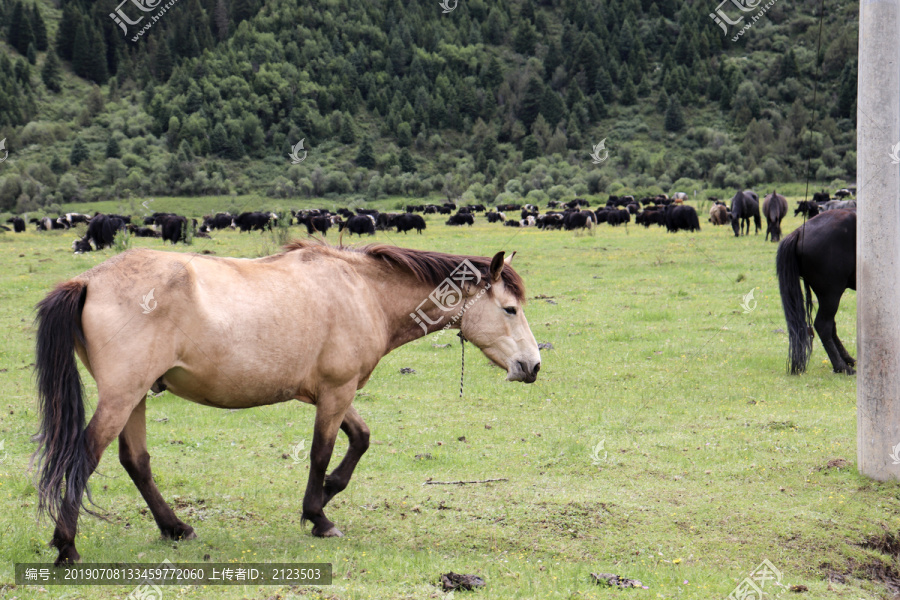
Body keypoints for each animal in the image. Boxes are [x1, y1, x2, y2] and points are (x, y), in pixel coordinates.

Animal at [33, 240, 542, 565]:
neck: (363, 291)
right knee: (85, 455)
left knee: (135, 461)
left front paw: (328, 493)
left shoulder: (333, 391)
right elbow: (322, 451)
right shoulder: (337, 391)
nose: (532, 365)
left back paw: (175, 528)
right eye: (510, 309)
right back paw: (67, 546)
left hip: (136, 396)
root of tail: (88, 281)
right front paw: (319, 516)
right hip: (122, 396)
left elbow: (360, 439)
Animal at [776, 209, 856, 375]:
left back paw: (847, 360)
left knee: (830, 326)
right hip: (831, 294)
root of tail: (799, 231)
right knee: (823, 325)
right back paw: (842, 366)